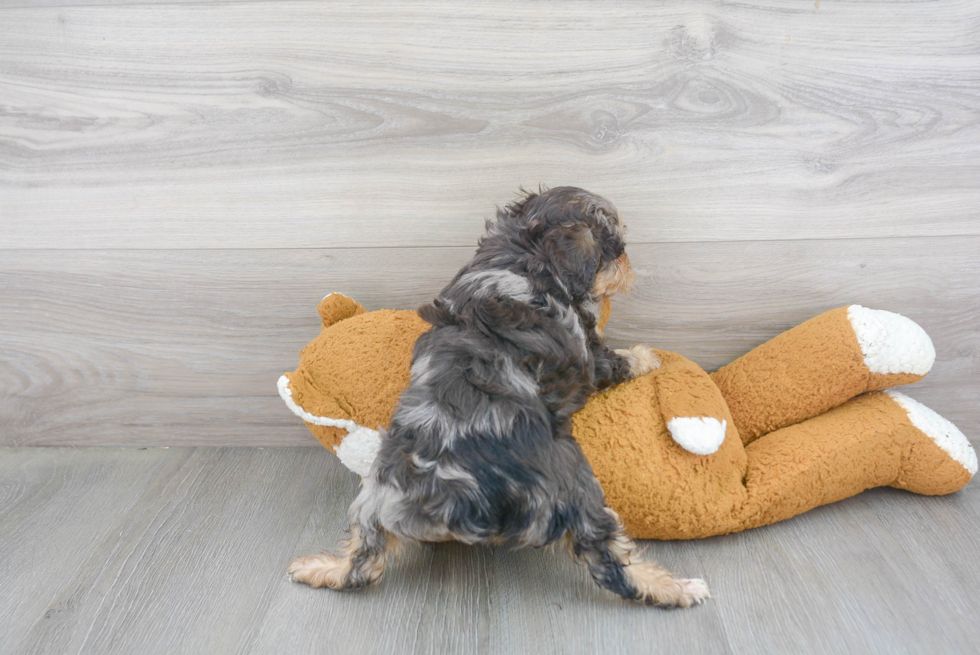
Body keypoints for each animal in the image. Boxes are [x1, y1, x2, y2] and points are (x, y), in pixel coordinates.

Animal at [288, 187, 708, 608]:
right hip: (573, 485)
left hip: (378, 496)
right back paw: (675, 588)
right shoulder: (587, 354)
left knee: (364, 560)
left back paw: (320, 568)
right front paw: (646, 356)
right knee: (607, 556)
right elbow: (615, 359)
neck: (521, 250)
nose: (630, 266)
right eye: (617, 249)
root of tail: (451, 495)